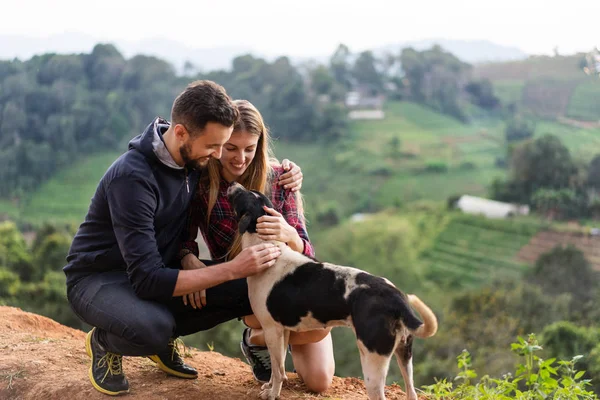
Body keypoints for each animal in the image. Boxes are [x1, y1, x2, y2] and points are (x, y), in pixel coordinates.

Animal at [227, 184, 438, 400]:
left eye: (240, 195)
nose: (234, 184)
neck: (269, 246)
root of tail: (396, 298)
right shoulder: (282, 331)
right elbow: (280, 368)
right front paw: (270, 387)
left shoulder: (272, 329)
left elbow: (278, 371)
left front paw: (272, 393)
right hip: (405, 354)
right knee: (411, 390)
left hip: (372, 360)